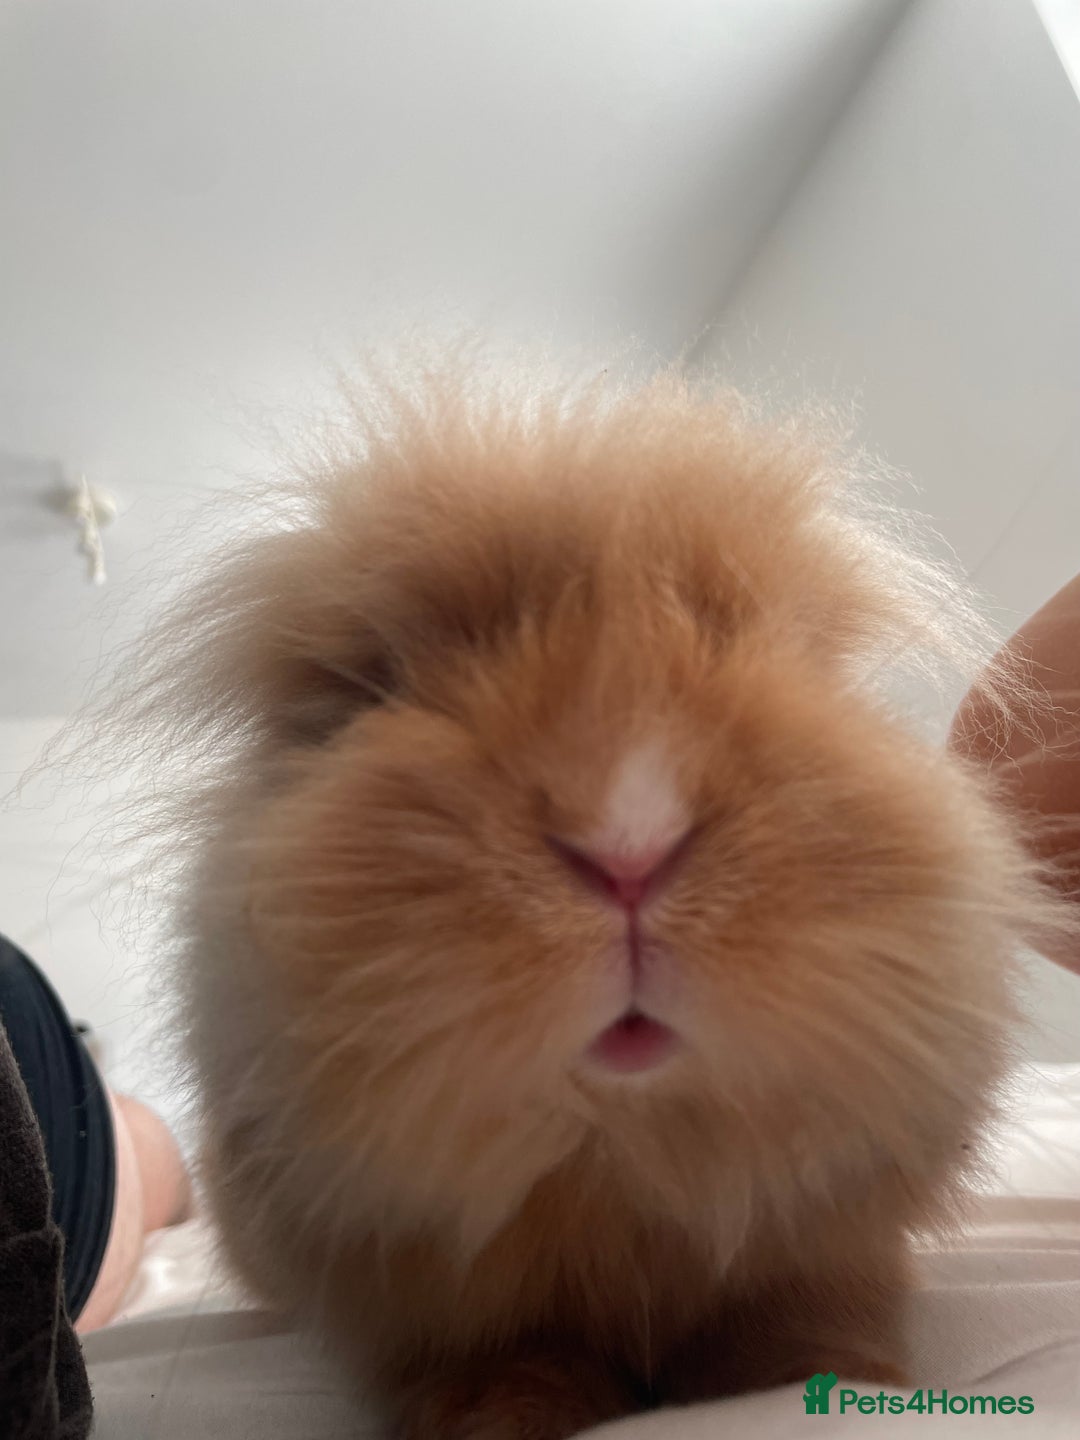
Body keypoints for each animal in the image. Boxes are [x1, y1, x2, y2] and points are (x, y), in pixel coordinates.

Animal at [136, 367, 1064, 1438]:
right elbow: (507, 1361)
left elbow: (794, 1332)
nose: (629, 843)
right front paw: (510, 1417)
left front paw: (827, 1385)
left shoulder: (824, 1254)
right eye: (378, 685)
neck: (618, 1159)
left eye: (787, 651)